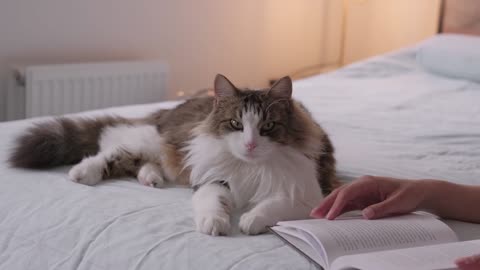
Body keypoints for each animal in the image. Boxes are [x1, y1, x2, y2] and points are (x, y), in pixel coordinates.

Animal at [8, 74, 338, 236]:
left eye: (268, 126)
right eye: (236, 124)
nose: (250, 145)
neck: (249, 167)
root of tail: (170, 110)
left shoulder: (308, 195)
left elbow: (272, 206)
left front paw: (250, 221)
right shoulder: (213, 180)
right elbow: (212, 204)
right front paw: (214, 223)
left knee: (137, 161)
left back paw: (150, 179)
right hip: (155, 142)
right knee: (114, 145)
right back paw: (83, 172)